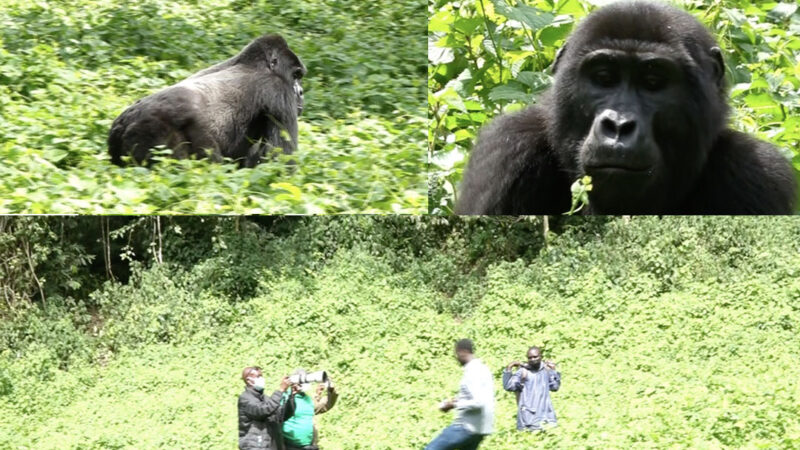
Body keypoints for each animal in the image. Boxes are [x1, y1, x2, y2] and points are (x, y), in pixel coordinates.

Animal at [108, 33, 304, 167]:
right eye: (295, 76)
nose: (301, 92)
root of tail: (123, 122)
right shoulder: (279, 91)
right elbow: (282, 159)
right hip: (153, 130)